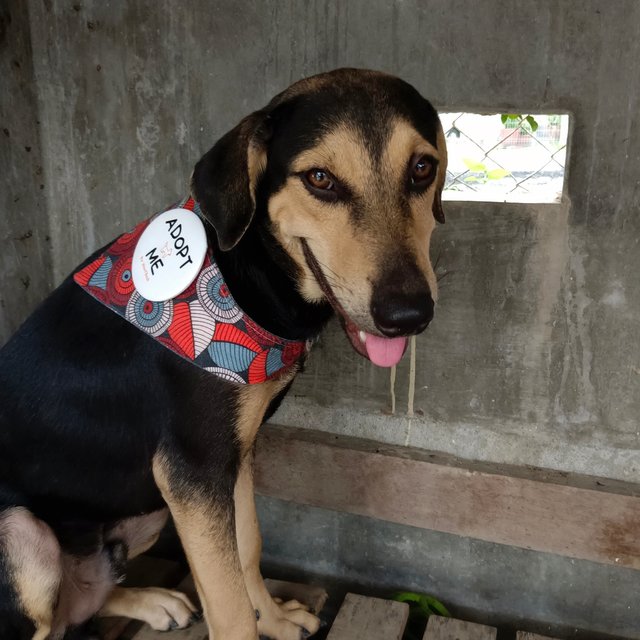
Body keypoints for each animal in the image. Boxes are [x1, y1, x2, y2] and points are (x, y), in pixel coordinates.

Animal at [0, 70, 448, 640]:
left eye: (422, 168)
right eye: (320, 178)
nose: (409, 314)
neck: (244, 275)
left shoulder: (231, 457)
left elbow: (248, 547)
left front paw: (274, 619)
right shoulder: (192, 472)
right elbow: (229, 606)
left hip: (146, 516)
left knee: (80, 607)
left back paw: (152, 601)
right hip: (21, 532)